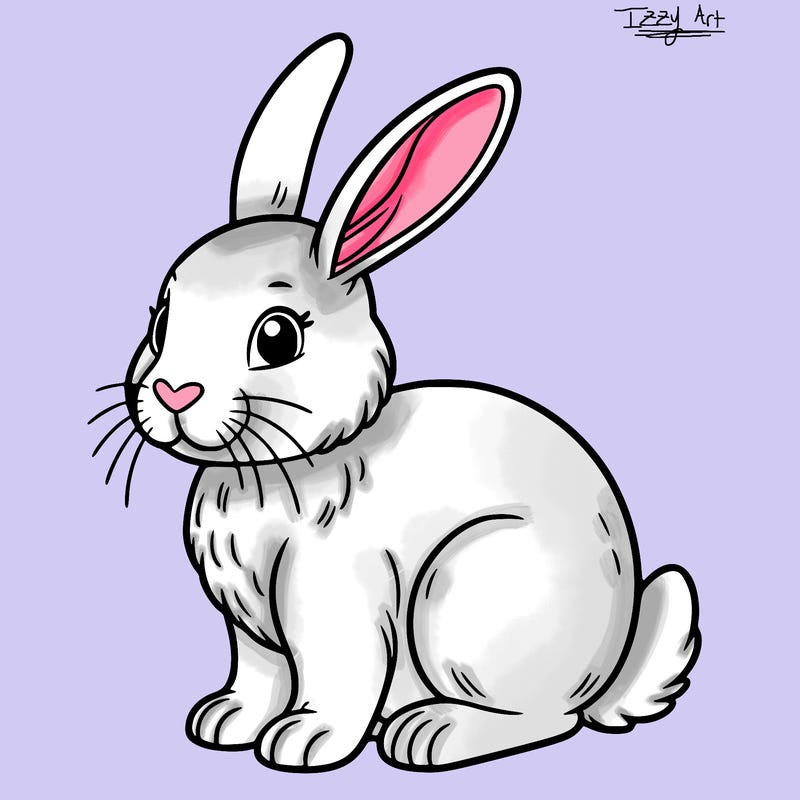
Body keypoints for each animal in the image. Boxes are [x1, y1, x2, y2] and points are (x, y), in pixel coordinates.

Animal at [93, 33, 700, 772]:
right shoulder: (251, 633)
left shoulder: (337, 603)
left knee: (546, 718)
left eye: (277, 337)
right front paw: (225, 722)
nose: (172, 392)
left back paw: (429, 733)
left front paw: (304, 742)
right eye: (159, 321)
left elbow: (334, 678)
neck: (286, 468)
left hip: (462, 596)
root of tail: (608, 665)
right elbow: (258, 676)